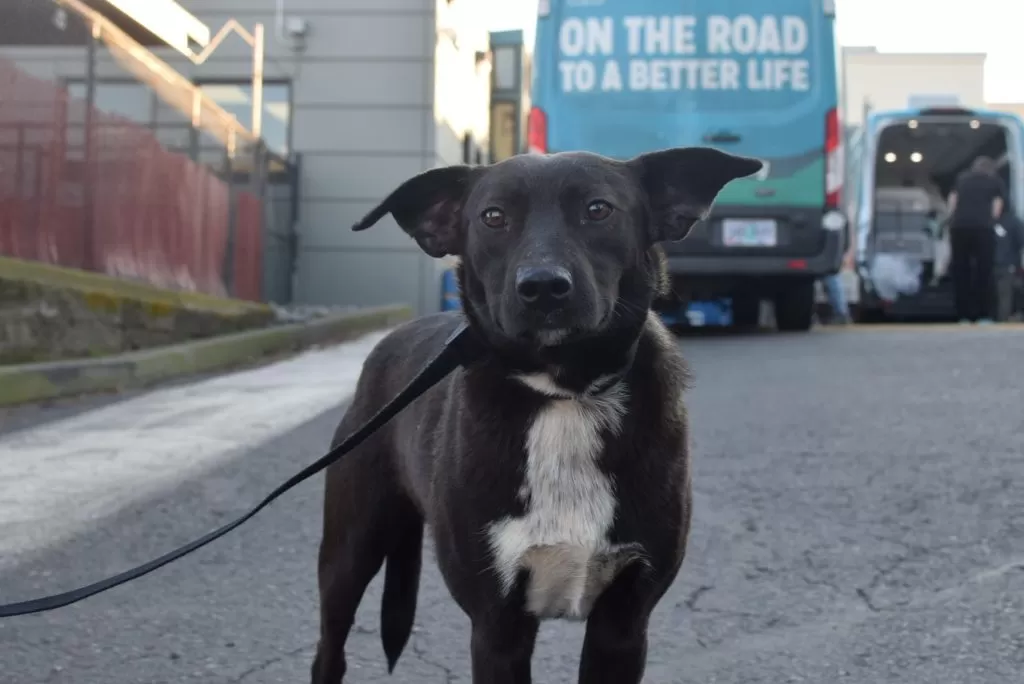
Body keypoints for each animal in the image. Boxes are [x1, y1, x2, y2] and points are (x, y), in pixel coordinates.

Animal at [311, 147, 761, 679]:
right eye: (493, 217)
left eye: (598, 209)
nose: (543, 286)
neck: (564, 393)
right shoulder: (497, 628)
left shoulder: (624, 626)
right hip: (349, 552)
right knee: (329, 651)